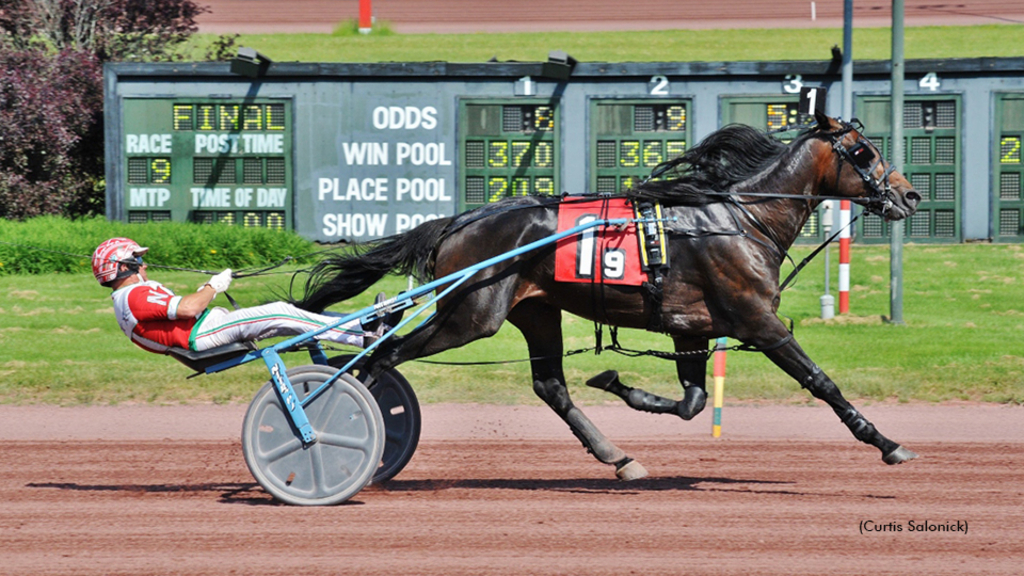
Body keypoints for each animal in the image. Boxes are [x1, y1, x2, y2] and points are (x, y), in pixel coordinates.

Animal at [294, 109, 921, 477]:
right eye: (864, 152)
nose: (909, 195)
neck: (739, 220)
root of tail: (461, 221)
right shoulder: (755, 320)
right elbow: (821, 382)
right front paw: (887, 442)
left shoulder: (692, 327)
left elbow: (693, 403)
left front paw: (618, 383)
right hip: (470, 315)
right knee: (382, 354)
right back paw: (331, 425)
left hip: (535, 311)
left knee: (550, 386)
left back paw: (619, 458)